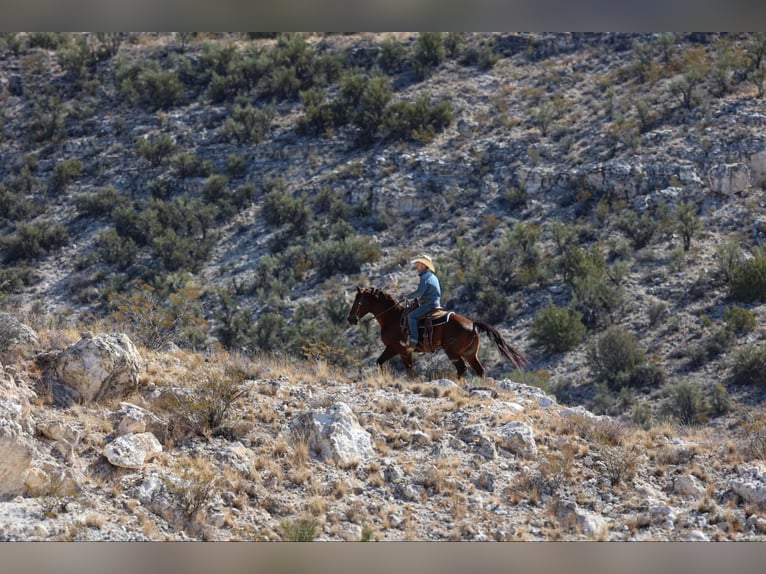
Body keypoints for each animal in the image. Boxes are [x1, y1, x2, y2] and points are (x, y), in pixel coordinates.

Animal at [346, 286, 528, 379]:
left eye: (358, 301)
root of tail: (472, 324)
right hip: (469, 353)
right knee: (479, 370)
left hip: (452, 352)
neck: (393, 318)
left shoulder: (394, 348)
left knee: (462, 369)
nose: (350, 319)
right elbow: (409, 371)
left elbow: (379, 362)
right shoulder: (405, 352)